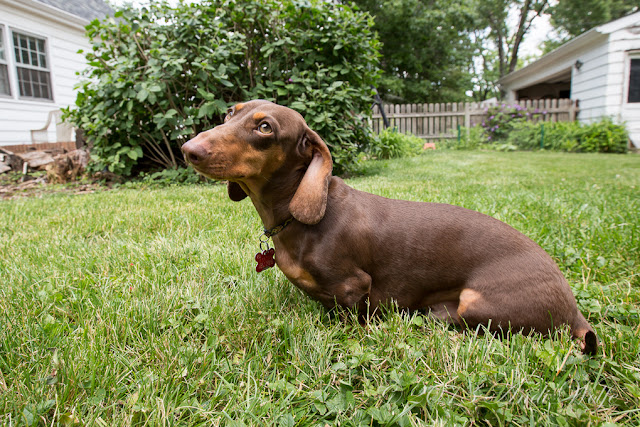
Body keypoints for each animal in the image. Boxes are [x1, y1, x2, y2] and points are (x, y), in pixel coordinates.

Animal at [182, 100, 598, 354]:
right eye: (228, 113)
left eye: (265, 127)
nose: (188, 150)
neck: (297, 218)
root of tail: (575, 311)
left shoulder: (354, 287)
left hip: (476, 301)